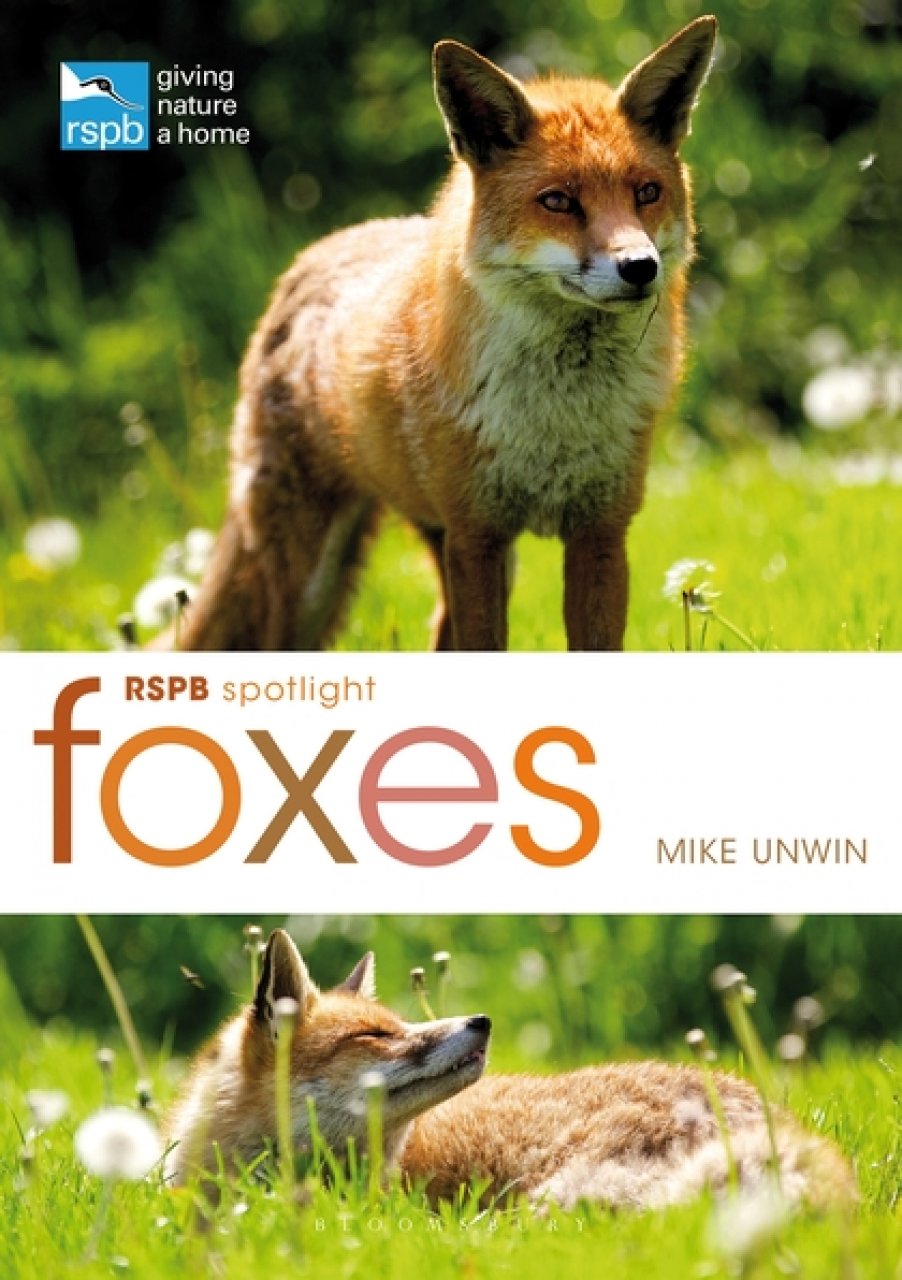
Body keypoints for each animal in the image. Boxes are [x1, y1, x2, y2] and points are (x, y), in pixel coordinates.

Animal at [176, 18, 718, 652]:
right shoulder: (476, 534)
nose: (640, 266)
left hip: (445, 547)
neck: (554, 418)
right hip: (312, 578)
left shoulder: (600, 532)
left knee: (438, 633)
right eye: (559, 201)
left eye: (647, 193)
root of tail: (314, 255)